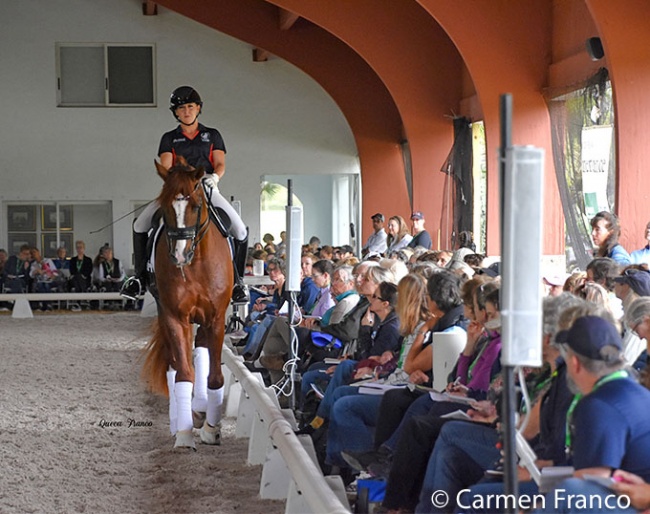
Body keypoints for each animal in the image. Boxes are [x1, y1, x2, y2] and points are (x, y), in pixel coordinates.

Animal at [142, 157, 233, 448]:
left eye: (195, 206)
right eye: (165, 209)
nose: (179, 256)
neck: (195, 264)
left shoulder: (215, 318)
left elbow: (214, 376)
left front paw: (212, 429)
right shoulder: (174, 316)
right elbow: (183, 373)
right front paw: (183, 433)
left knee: (201, 351)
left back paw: (203, 408)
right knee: (174, 365)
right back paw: (178, 420)